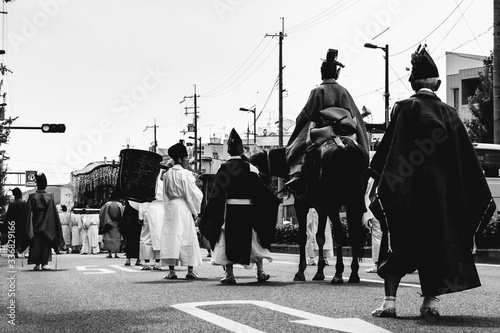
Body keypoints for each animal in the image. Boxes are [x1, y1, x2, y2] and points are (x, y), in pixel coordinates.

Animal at [249, 107, 368, 282]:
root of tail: (346, 146)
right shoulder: (321, 208)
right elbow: (319, 237)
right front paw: (319, 272)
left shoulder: (302, 204)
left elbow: (303, 237)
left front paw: (300, 271)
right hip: (354, 201)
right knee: (354, 234)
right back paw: (353, 273)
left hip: (334, 204)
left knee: (340, 235)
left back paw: (338, 273)